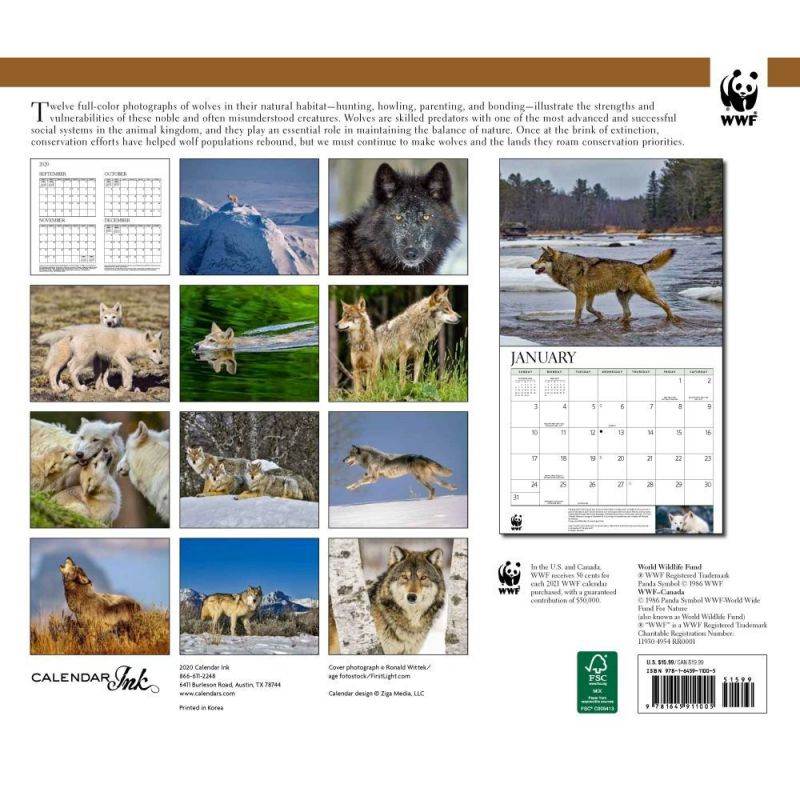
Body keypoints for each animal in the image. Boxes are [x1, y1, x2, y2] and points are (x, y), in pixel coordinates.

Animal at [531, 245, 677, 323]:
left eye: (542, 259)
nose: (531, 265)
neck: (566, 266)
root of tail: (640, 266)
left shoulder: (581, 294)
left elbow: (578, 311)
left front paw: (574, 322)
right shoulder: (589, 294)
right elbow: (589, 309)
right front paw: (601, 316)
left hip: (646, 294)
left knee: (665, 303)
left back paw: (671, 318)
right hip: (620, 296)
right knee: (628, 313)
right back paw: (619, 321)